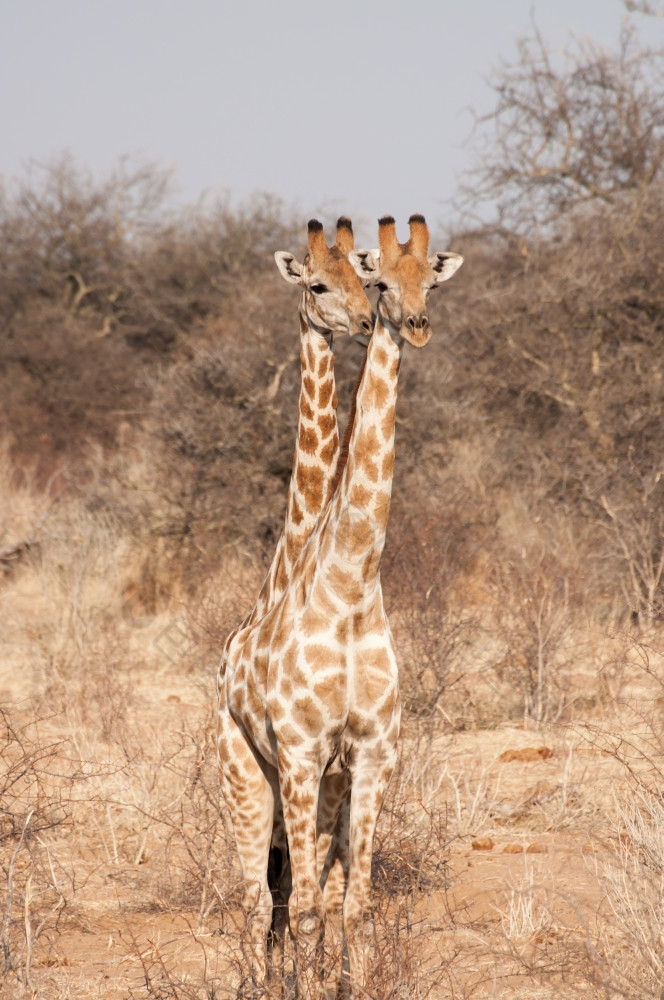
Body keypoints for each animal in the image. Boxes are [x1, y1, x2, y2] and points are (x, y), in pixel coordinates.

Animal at [218, 215, 462, 996]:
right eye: (374, 279)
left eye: (430, 278)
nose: (411, 325)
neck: (351, 585)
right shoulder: (299, 753)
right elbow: (299, 909)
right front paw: (301, 984)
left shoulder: (371, 753)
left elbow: (351, 904)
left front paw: (345, 983)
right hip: (245, 772)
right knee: (255, 895)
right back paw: (256, 983)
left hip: (316, 786)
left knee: (295, 890)